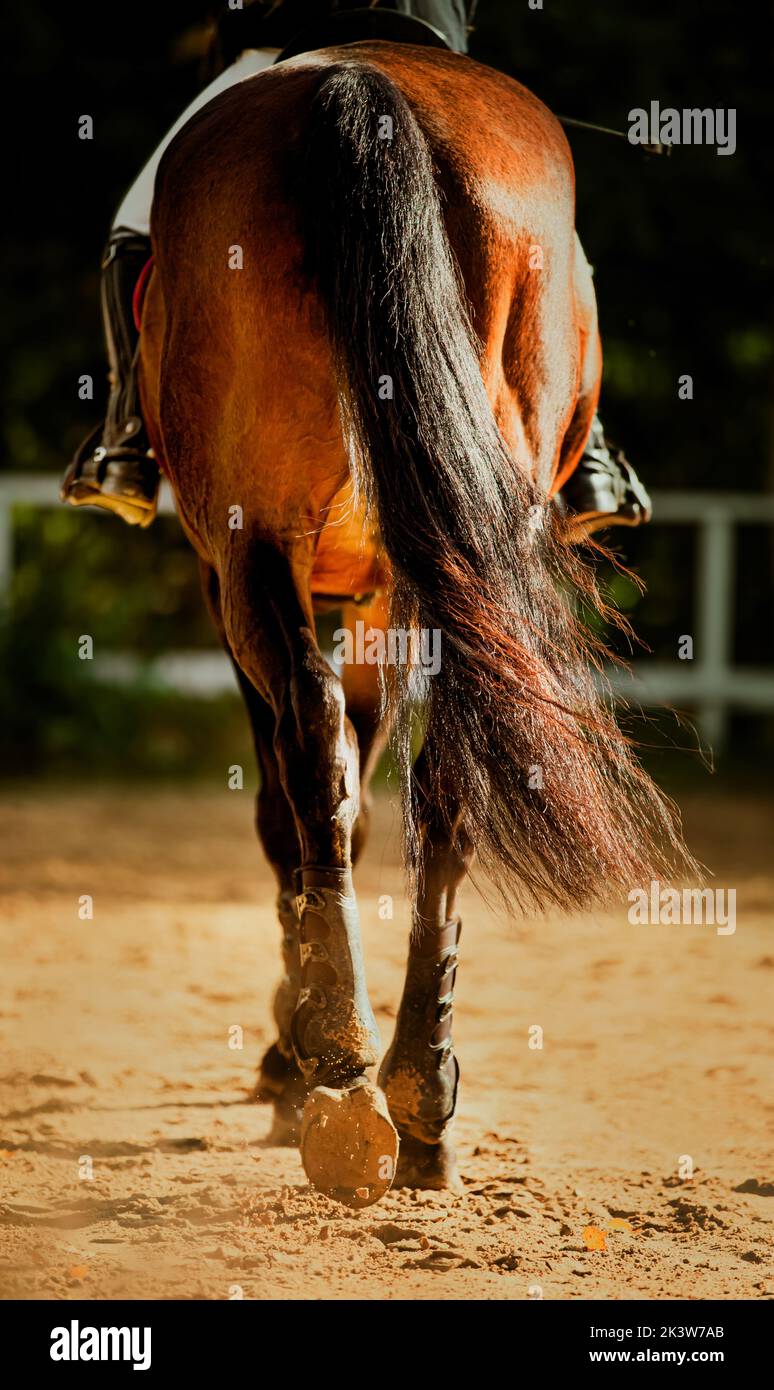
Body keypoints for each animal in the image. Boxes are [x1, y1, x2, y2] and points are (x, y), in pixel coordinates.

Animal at [137, 40, 692, 1206]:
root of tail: (360, 80)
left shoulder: (234, 574)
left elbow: (301, 802)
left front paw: (288, 1049)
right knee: (443, 781)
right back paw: (413, 1097)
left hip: (259, 551)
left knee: (312, 755)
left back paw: (341, 1064)